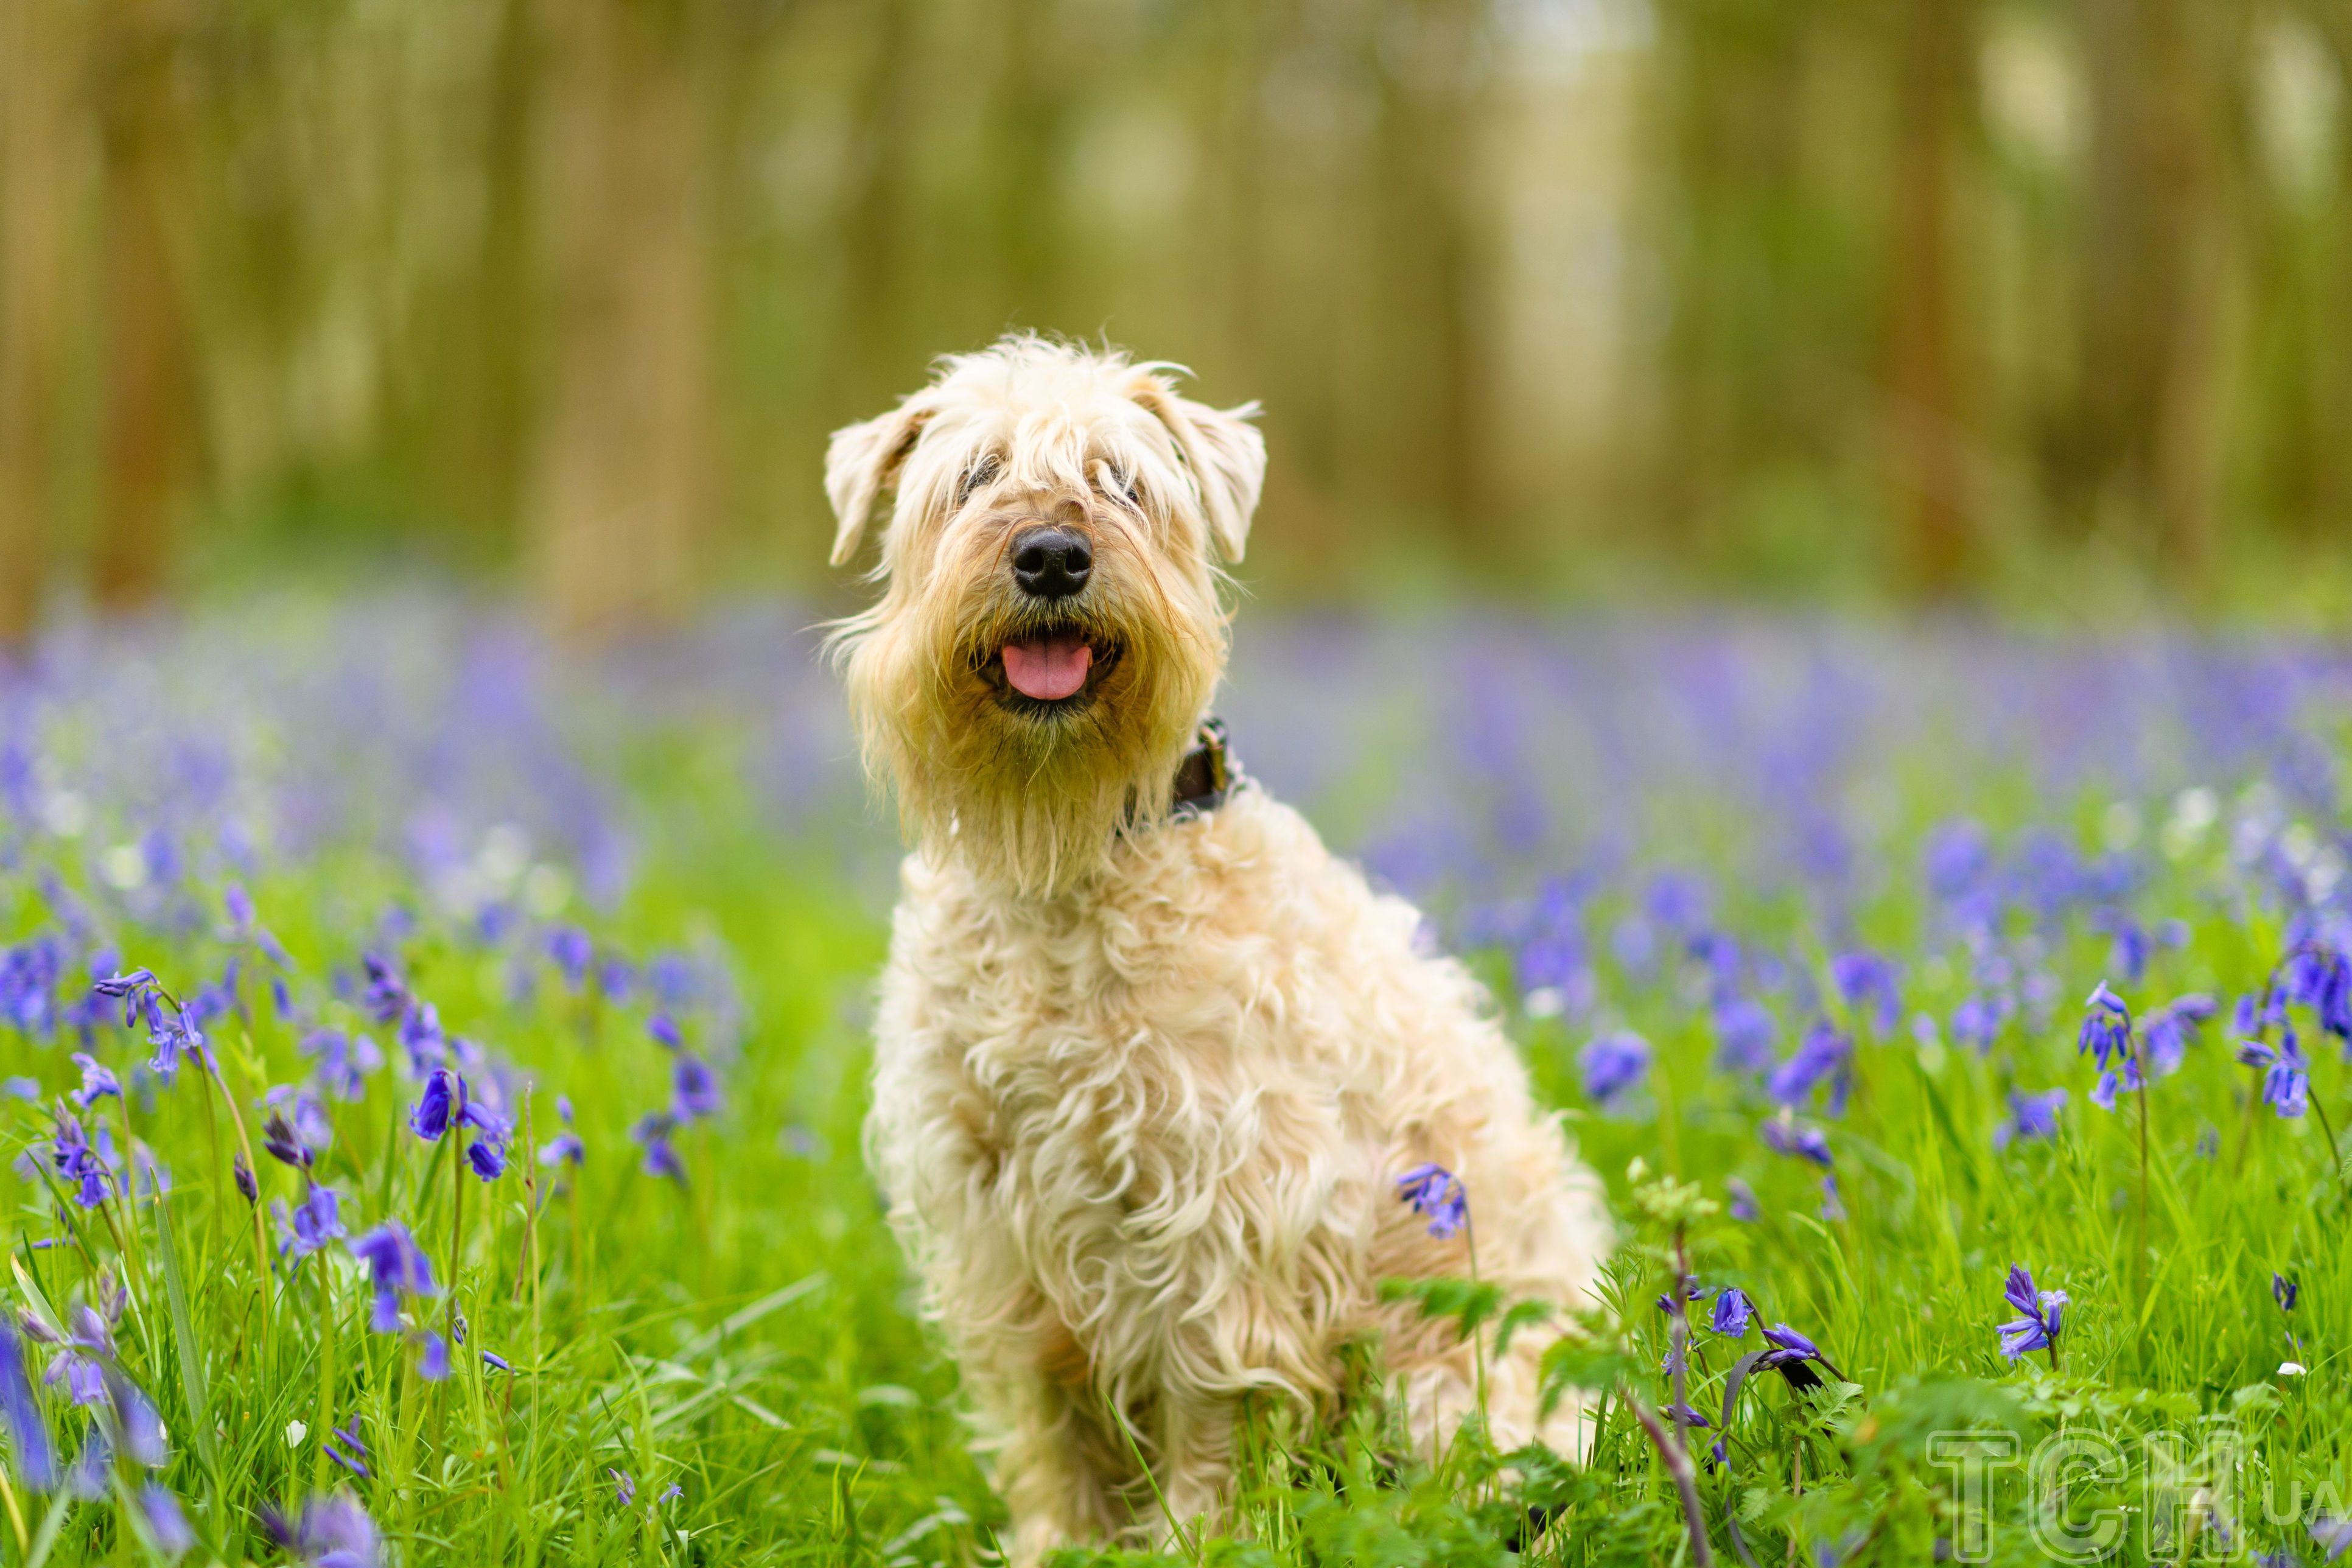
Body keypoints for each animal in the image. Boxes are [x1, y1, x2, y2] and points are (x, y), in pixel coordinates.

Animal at [818, 334, 1608, 1561]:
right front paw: (1057, 1544)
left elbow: (1209, 1413)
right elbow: (1049, 1429)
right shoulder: (996, 1221)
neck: (1068, 864)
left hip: (1461, 1381)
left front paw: (1196, 1538)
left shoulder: (1225, 1209)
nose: (1052, 554)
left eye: (1125, 482)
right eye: (978, 475)